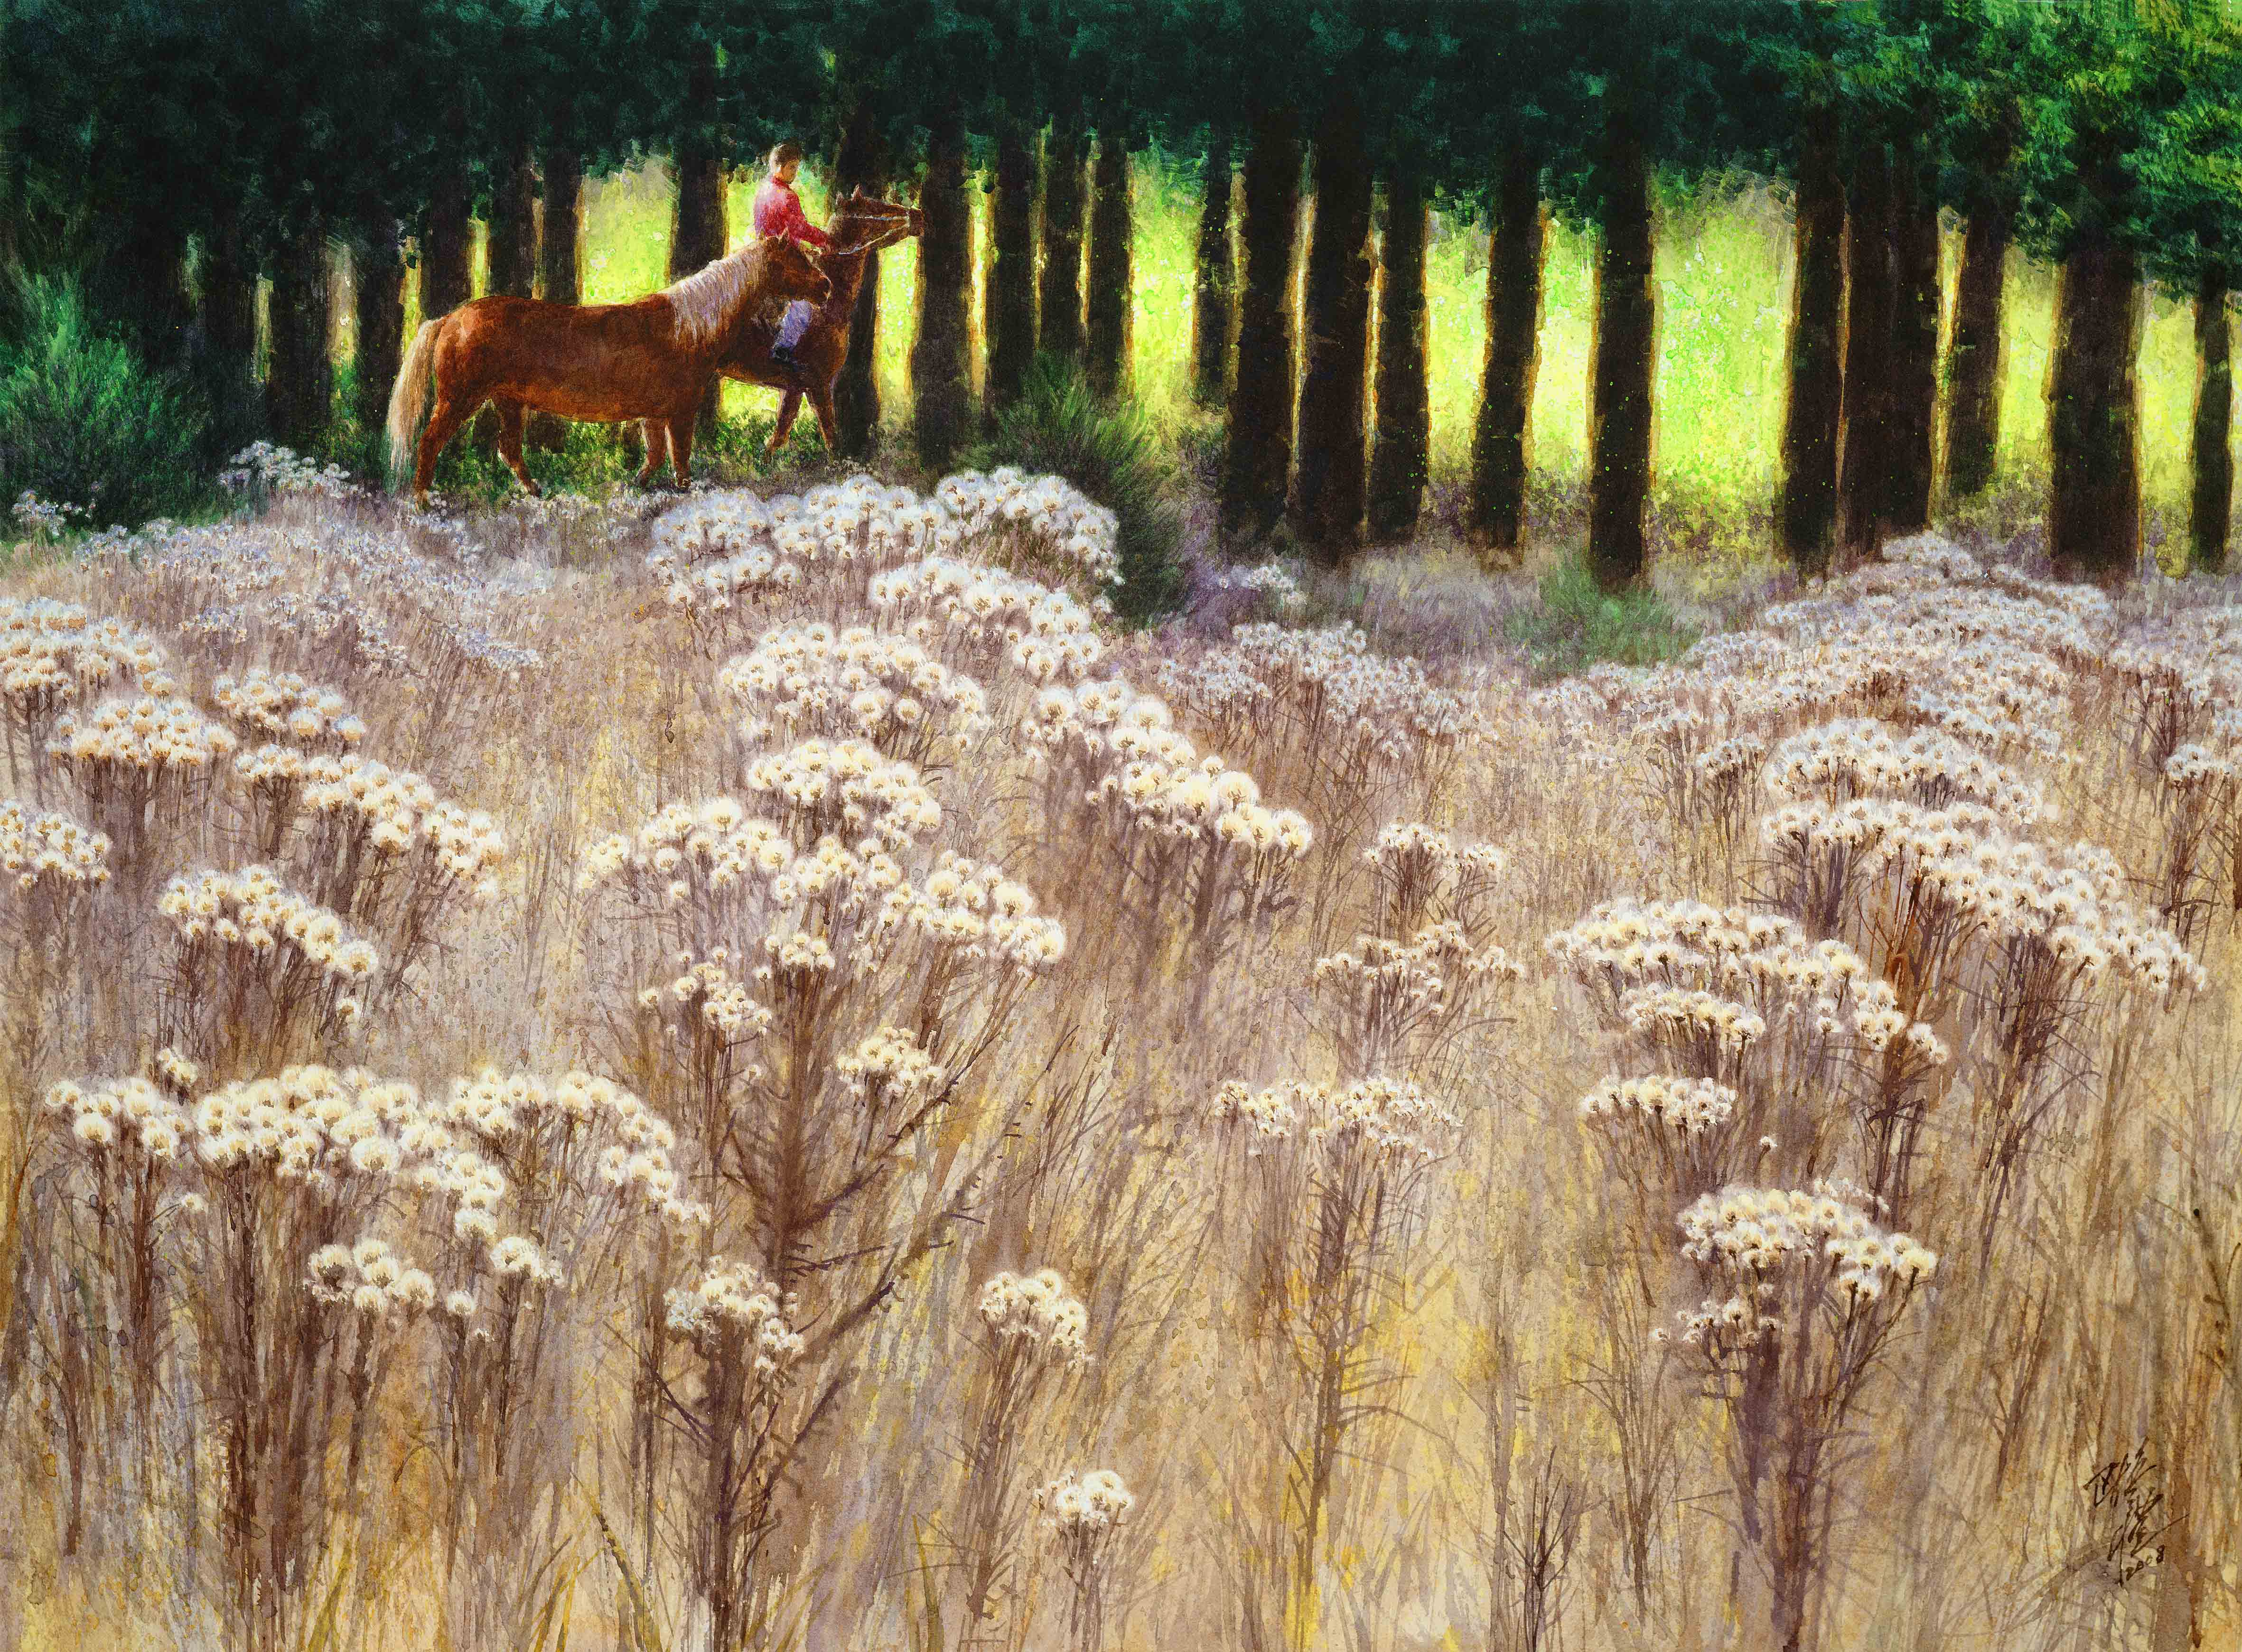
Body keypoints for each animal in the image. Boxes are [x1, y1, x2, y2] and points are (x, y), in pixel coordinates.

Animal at [388, 235, 834, 500]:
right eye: (796, 259)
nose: (826, 285)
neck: (690, 327)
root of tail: (451, 318)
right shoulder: (680, 411)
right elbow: (681, 458)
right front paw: (684, 492)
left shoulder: (653, 415)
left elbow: (655, 456)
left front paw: (637, 487)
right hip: (461, 398)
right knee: (430, 442)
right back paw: (423, 501)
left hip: (507, 402)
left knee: (509, 450)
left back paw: (537, 492)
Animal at [717, 190, 928, 455]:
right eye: (879, 209)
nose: (918, 216)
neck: (830, 305)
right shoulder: (819, 384)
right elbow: (829, 435)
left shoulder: (795, 389)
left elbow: (779, 435)